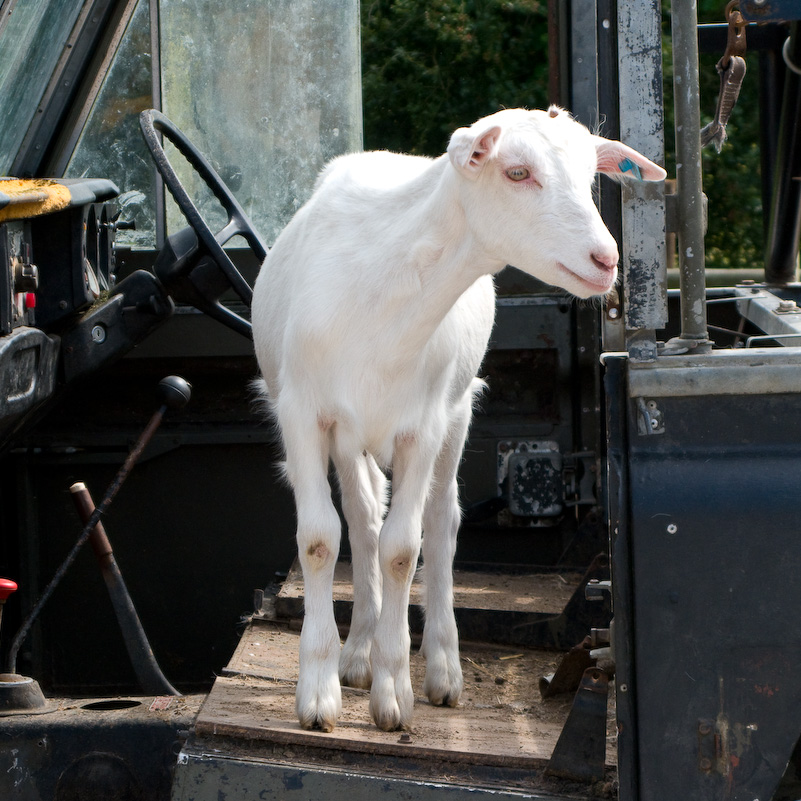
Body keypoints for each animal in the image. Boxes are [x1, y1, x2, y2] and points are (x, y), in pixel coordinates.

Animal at [250, 106, 664, 732]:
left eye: (591, 175)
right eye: (517, 172)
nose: (606, 260)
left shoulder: (421, 426)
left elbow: (403, 548)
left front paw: (394, 696)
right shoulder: (303, 413)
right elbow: (323, 539)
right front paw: (319, 695)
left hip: (456, 410)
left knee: (441, 521)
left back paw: (441, 668)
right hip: (352, 435)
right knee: (364, 519)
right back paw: (358, 652)